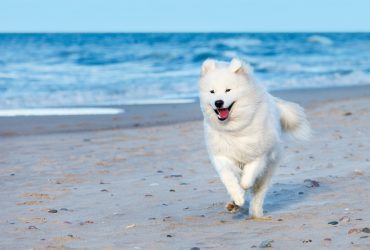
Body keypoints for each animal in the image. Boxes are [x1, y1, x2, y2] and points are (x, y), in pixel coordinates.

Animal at [199, 58, 310, 219]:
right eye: (212, 91)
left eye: (228, 90)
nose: (218, 102)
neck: (235, 129)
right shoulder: (222, 155)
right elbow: (229, 178)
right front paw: (237, 196)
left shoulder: (260, 154)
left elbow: (247, 178)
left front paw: (243, 187)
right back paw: (233, 204)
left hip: (267, 171)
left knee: (258, 195)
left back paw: (256, 214)